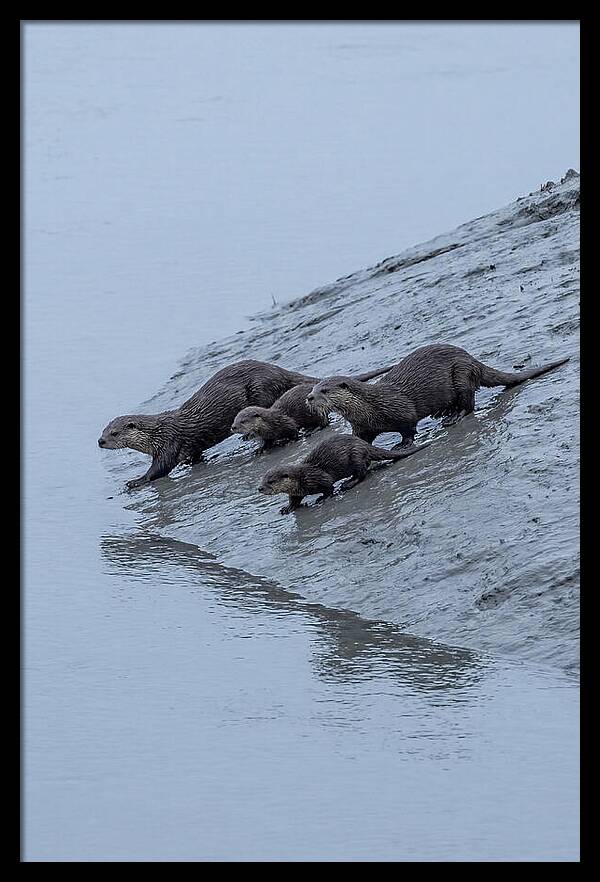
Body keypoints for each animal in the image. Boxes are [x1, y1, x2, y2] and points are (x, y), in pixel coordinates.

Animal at [99, 360, 325, 489]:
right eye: (103, 431)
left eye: (114, 433)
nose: (100, 441)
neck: (157, 434)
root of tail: (278, 370)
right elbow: (195, 452)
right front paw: (191, 462)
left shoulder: (168, 443)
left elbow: (159, 469)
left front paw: (136, 481)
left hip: (262, 389)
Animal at [230, 366, 394, 450]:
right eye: (234, 419)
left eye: (243, 421)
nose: (233, 427)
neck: (269, 423)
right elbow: (267, 441)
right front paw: (261, 448)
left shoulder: (285, 422)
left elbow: (293, 431)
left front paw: (289, 441)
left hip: (316, 411)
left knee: (324, 422)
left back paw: (312, 429)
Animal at [259, 434, 427, 514]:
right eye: (262, 479)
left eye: (271, 481)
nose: (260, 489)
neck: (301, 478)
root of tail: (363, 443)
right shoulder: (295, 492)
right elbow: (294, 501)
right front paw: (287, 508)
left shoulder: (320, 478)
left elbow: (328, 488)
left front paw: (322, 498)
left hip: (355, 456)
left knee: (362, 473)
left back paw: (348, 483)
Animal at [307, 344, 570, 447]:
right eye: (312, 389)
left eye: (324, 390)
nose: (309, 398)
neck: (370, 407)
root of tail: (473, 360)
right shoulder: (362, 427)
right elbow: (361, 441)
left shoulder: (401, 410)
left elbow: (408, 427)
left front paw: (403, 444)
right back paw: (445, 412)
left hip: (461, 374)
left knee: (469, 403)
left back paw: (454, 417)